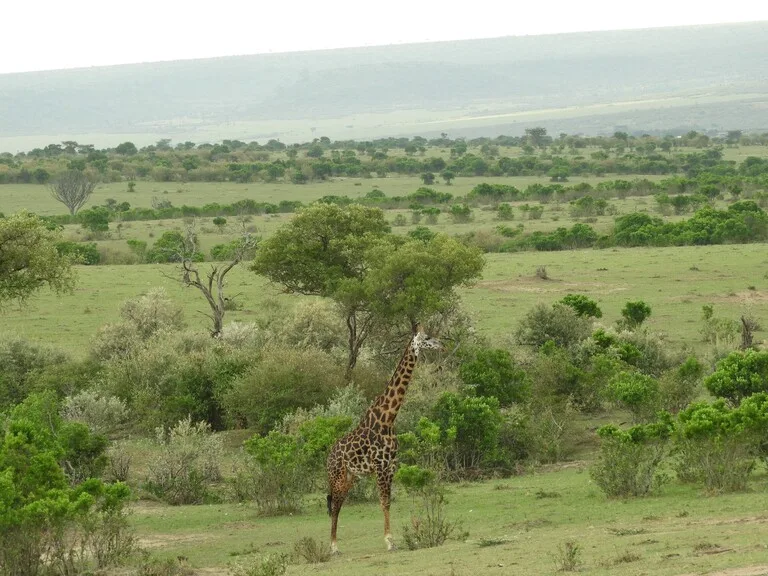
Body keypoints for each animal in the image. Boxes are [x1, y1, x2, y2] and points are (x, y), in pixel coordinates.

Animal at [326, 324, 444, 552]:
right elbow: (383, 501)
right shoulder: (380, 466)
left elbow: (387, 501)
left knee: (339, 502)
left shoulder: (390, 466)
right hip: (337, 476)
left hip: (351, 477)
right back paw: (333, 547)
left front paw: (392, 539)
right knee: (334, 504)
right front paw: (389, 541)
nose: (442, 345)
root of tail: (328, 457)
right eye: (427, 337)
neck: (388, 418)